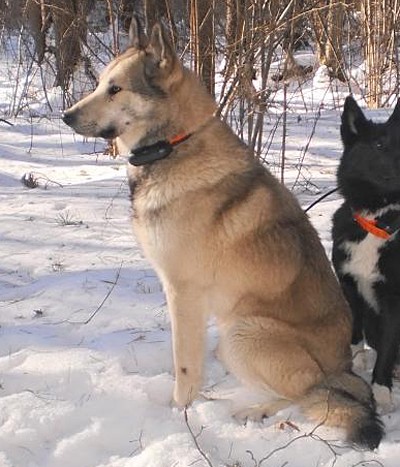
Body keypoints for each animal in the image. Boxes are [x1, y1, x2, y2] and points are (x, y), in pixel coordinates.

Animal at [63, 20, 383, 449]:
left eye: (116, 89)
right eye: (99, 84)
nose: (66, 116)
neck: (173, 146)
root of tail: (342, 371)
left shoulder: (183, 292)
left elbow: (185, 365)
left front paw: (179, 412)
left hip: (241, 333)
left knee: (307, 394)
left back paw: (256, 410)